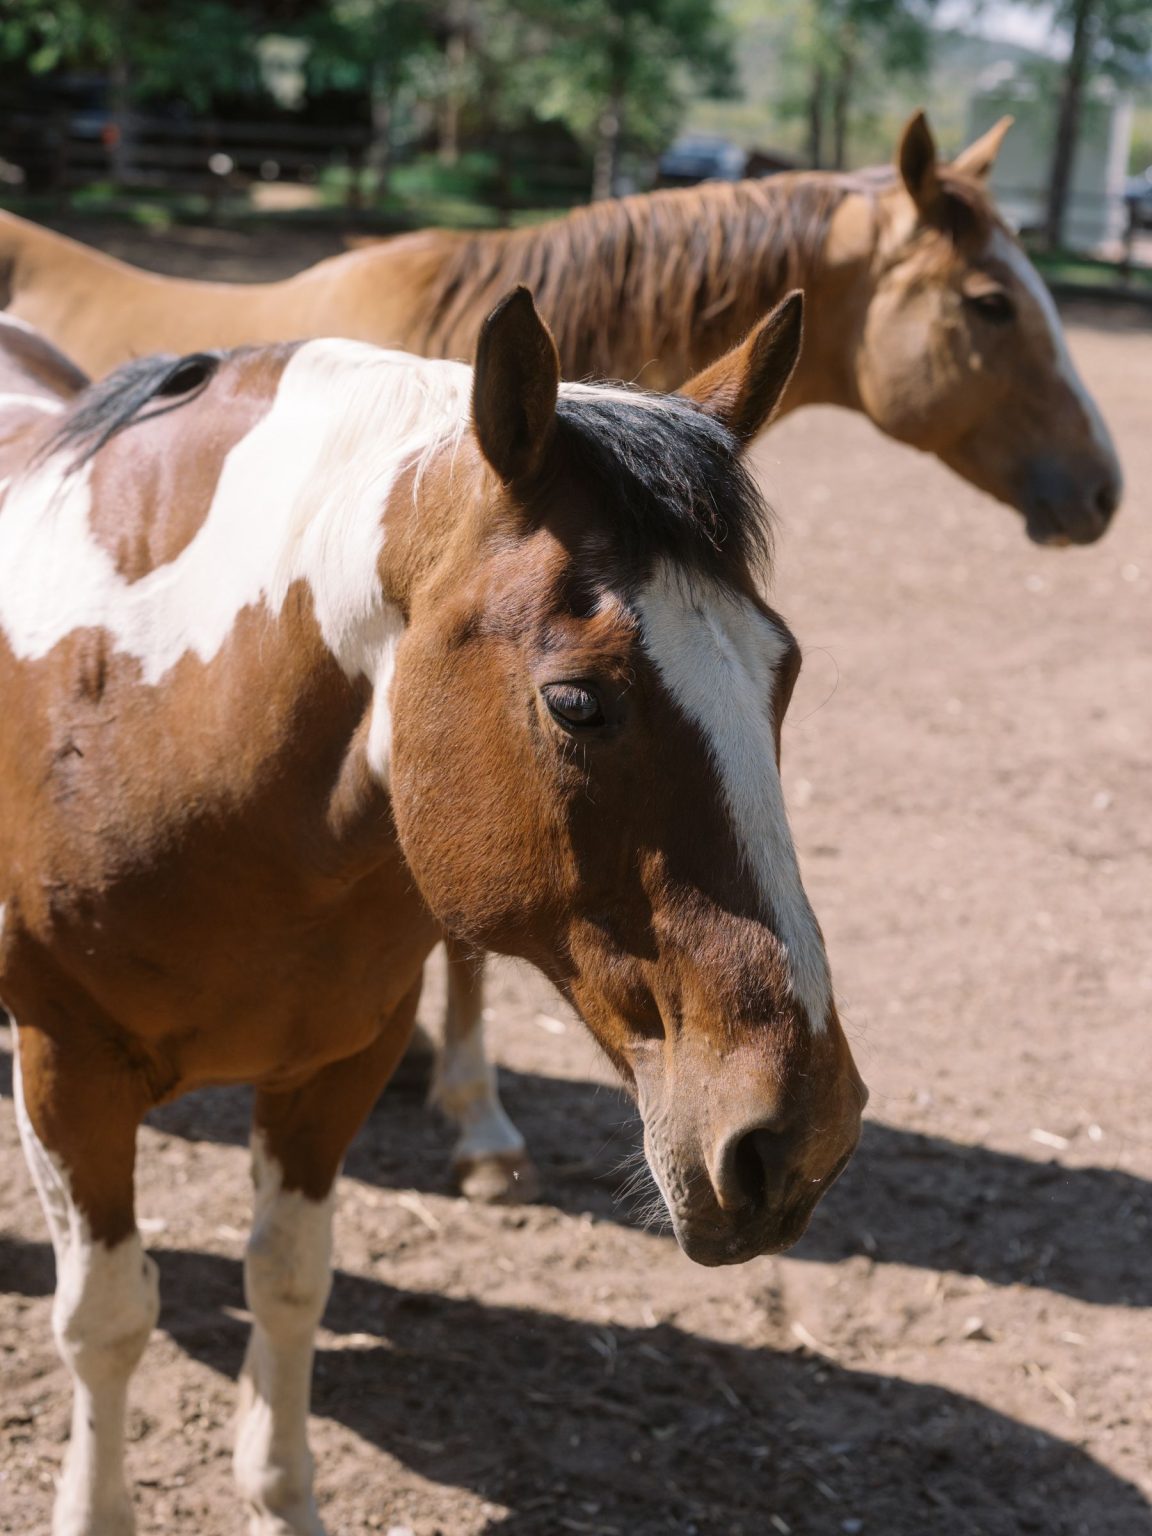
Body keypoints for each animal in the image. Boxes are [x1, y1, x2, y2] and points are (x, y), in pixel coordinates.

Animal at [0, 290, 867, 1536]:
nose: (803, 1139)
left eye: (781, 670)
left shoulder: (336, 1067)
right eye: (577, 701)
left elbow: (290, 1280)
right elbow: (108, 1319)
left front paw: (283, 1500)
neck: (163, 713)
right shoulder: (69, 1068)